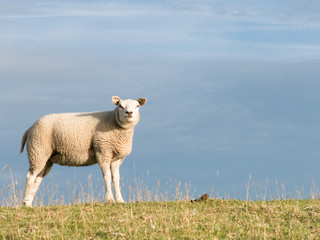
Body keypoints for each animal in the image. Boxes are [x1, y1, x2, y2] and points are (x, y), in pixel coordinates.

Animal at [18, 95, 146, 206]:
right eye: (120, 106)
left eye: (137, 106)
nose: (129, 113)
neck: (114, 122)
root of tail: (30, 128)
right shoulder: (103, 151)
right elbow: (107, 177)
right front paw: (109, 199)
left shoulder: (116, 158)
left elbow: (116, 179)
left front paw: (120, 200)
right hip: (38, 150)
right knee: (30, 176)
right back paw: (25, 203)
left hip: (46, 157)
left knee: (37, 178)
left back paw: (29, 202)